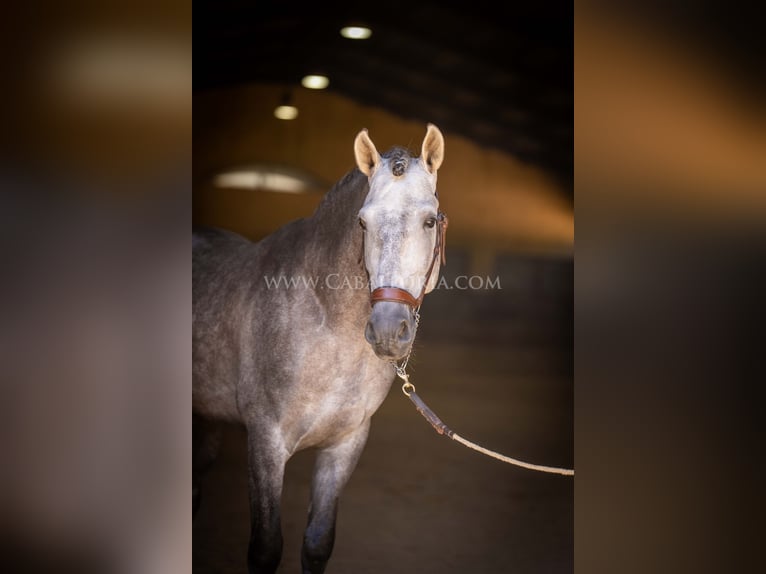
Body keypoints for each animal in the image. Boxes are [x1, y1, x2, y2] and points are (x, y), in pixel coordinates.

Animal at [194, 124, 450, 572]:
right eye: (362, 222)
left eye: (430, 221)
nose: (387, 331)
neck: (327, 322)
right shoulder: (265, 442)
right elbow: (265, 547)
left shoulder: (344, 444)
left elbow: (317, 541)